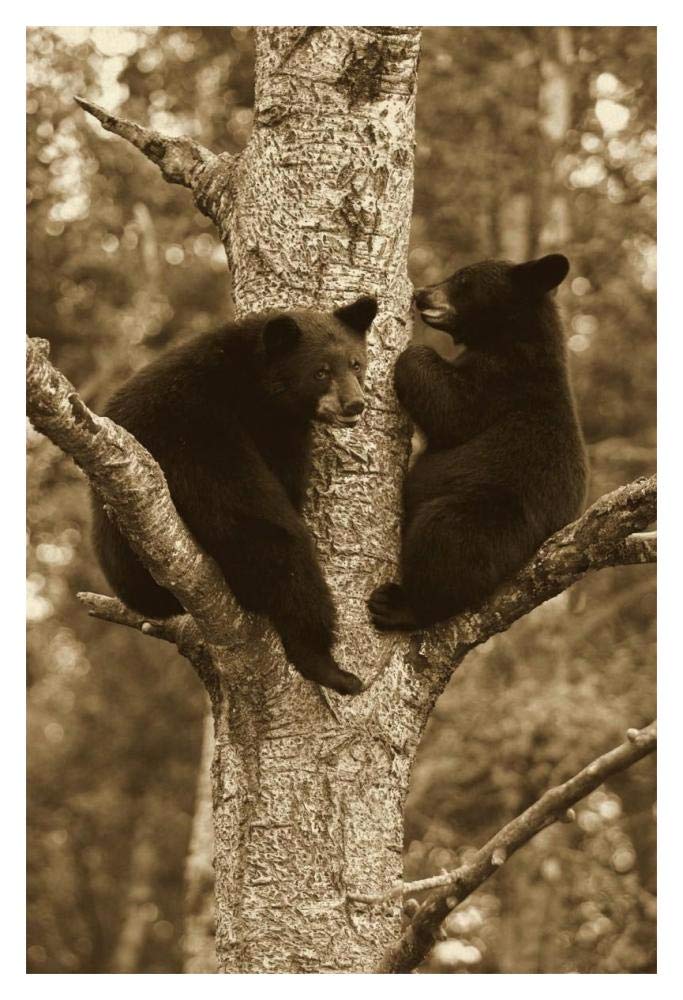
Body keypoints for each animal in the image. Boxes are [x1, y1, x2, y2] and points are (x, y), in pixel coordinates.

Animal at [92, 296, 378, 695]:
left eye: (355, 364)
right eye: (320, 372)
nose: (355, 404)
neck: (254, 388)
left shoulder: (279, 433)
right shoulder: (205, 429)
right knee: (282, 549)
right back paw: (328, 667)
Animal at [368, 254, 587, 631]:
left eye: (463, 280)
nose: (422, 294)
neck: (511, 336)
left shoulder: (503, 381)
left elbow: (451, 407)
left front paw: (409, 351)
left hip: (494, 516)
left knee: (447, 540)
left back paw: (401, 605)